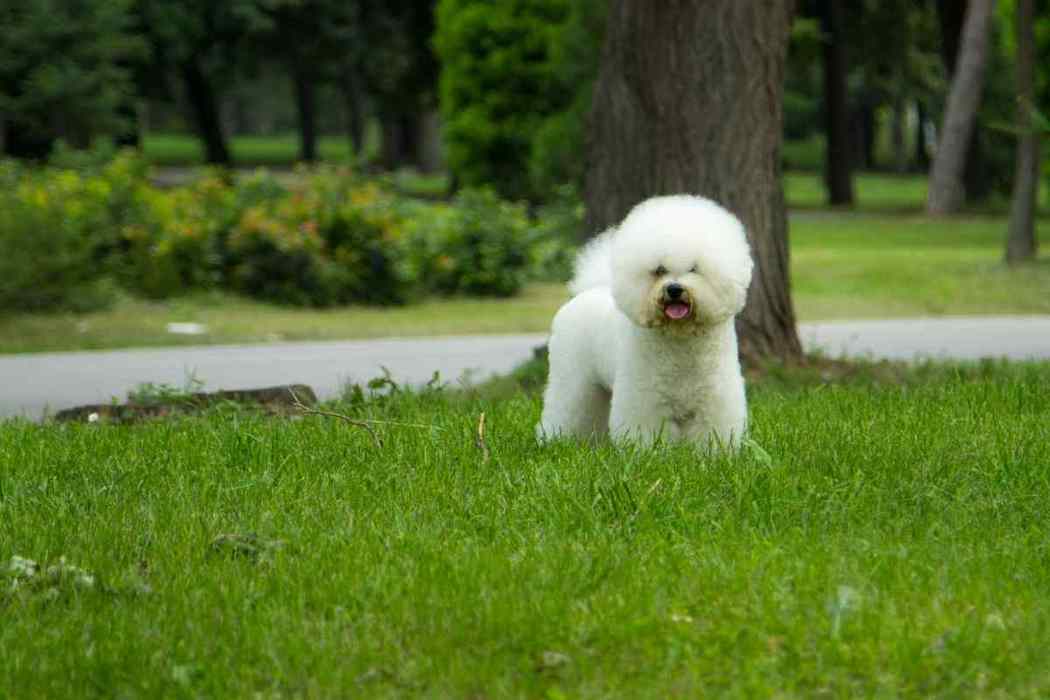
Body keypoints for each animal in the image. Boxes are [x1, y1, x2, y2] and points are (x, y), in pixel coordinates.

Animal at [537, 196, 751, 449]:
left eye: (694, 268)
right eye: (659, 270)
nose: (674, 289)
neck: (680, 338)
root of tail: (590, 290)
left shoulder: (714, 398)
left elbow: (711, 431)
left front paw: (713, 454)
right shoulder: (646, 398)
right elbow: (645, 428)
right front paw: (646, 452)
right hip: (572, 379)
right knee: (567, 408)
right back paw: (554, 440)